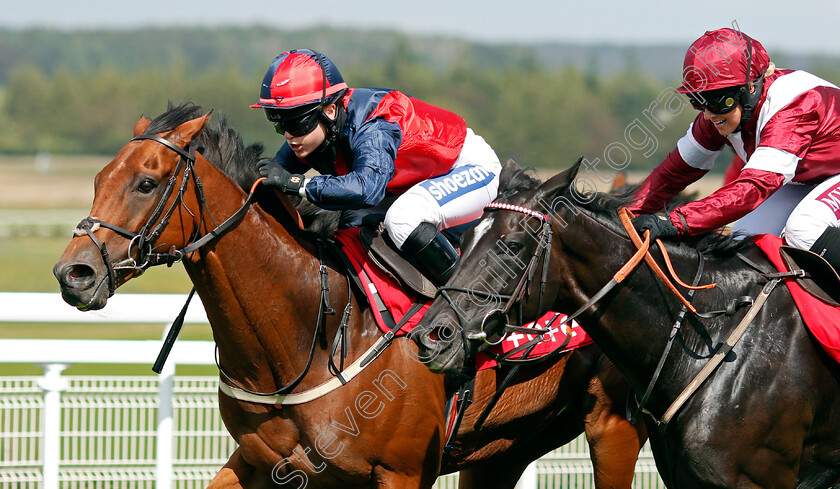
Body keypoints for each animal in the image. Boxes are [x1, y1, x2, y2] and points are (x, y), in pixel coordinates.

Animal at [52, 104, 644, 488]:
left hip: (611, 428)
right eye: (100, 178)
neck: (307, 337)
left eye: (146, 183)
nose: (73, 273)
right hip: (502, 450)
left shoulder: (402, 472)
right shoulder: (265, 462)